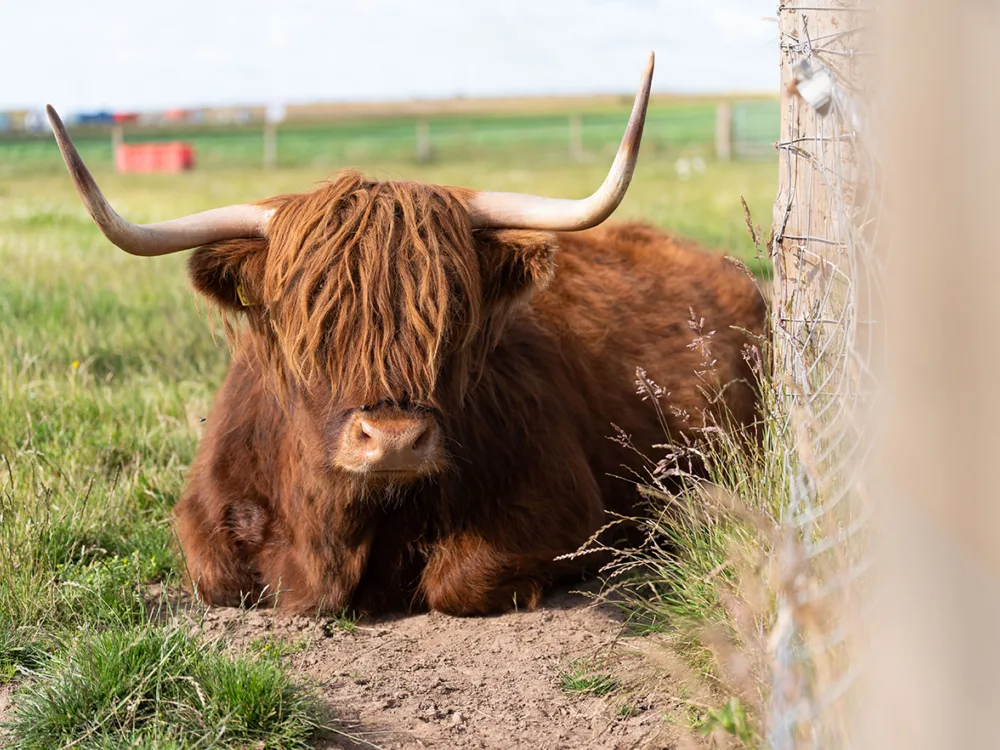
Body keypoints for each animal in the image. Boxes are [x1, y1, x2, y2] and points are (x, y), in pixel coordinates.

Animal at [48, 54, 766, 617]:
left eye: (452, 311)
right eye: (309, 317)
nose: (393, 439)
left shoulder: (566, 505)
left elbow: (459, 578)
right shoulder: (206, 519)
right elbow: (217, 575)